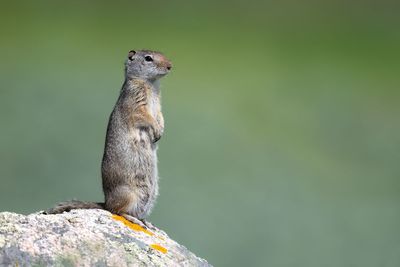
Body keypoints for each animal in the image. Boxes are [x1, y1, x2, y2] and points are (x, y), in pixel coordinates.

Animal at [47, 48, 172, 228]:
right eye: (148, 58)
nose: (170, 66)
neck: (151, 85)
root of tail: (106, 202)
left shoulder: (159, 106)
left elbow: (160, 116)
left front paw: (160, 130)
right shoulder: (135, 102)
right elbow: (144, 116)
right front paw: (156, 130)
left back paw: (145, 222)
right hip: (129, 195)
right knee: (117, 211)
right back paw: (135, 220)